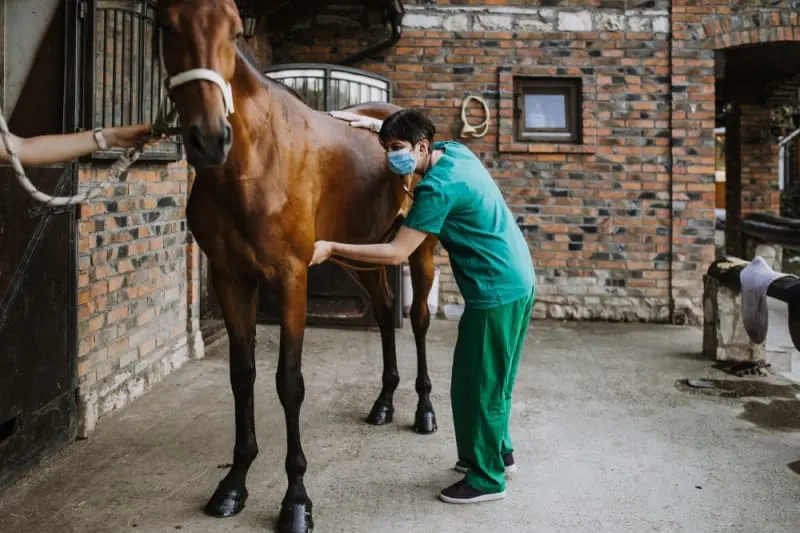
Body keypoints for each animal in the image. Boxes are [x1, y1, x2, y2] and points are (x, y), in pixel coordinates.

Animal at [155, 1, 439, 531]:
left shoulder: (291, 278)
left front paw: (296, 500)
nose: (209, 138)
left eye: (236, 31)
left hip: (421, 251)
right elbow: (241, 374)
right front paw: (233, 484)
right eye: (166, 26)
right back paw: (384, 403)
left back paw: (425, 410)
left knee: (417, 319)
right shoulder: (230, 278)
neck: (249, 164)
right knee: (384, 310)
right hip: (364, 255)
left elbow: (289, 383)